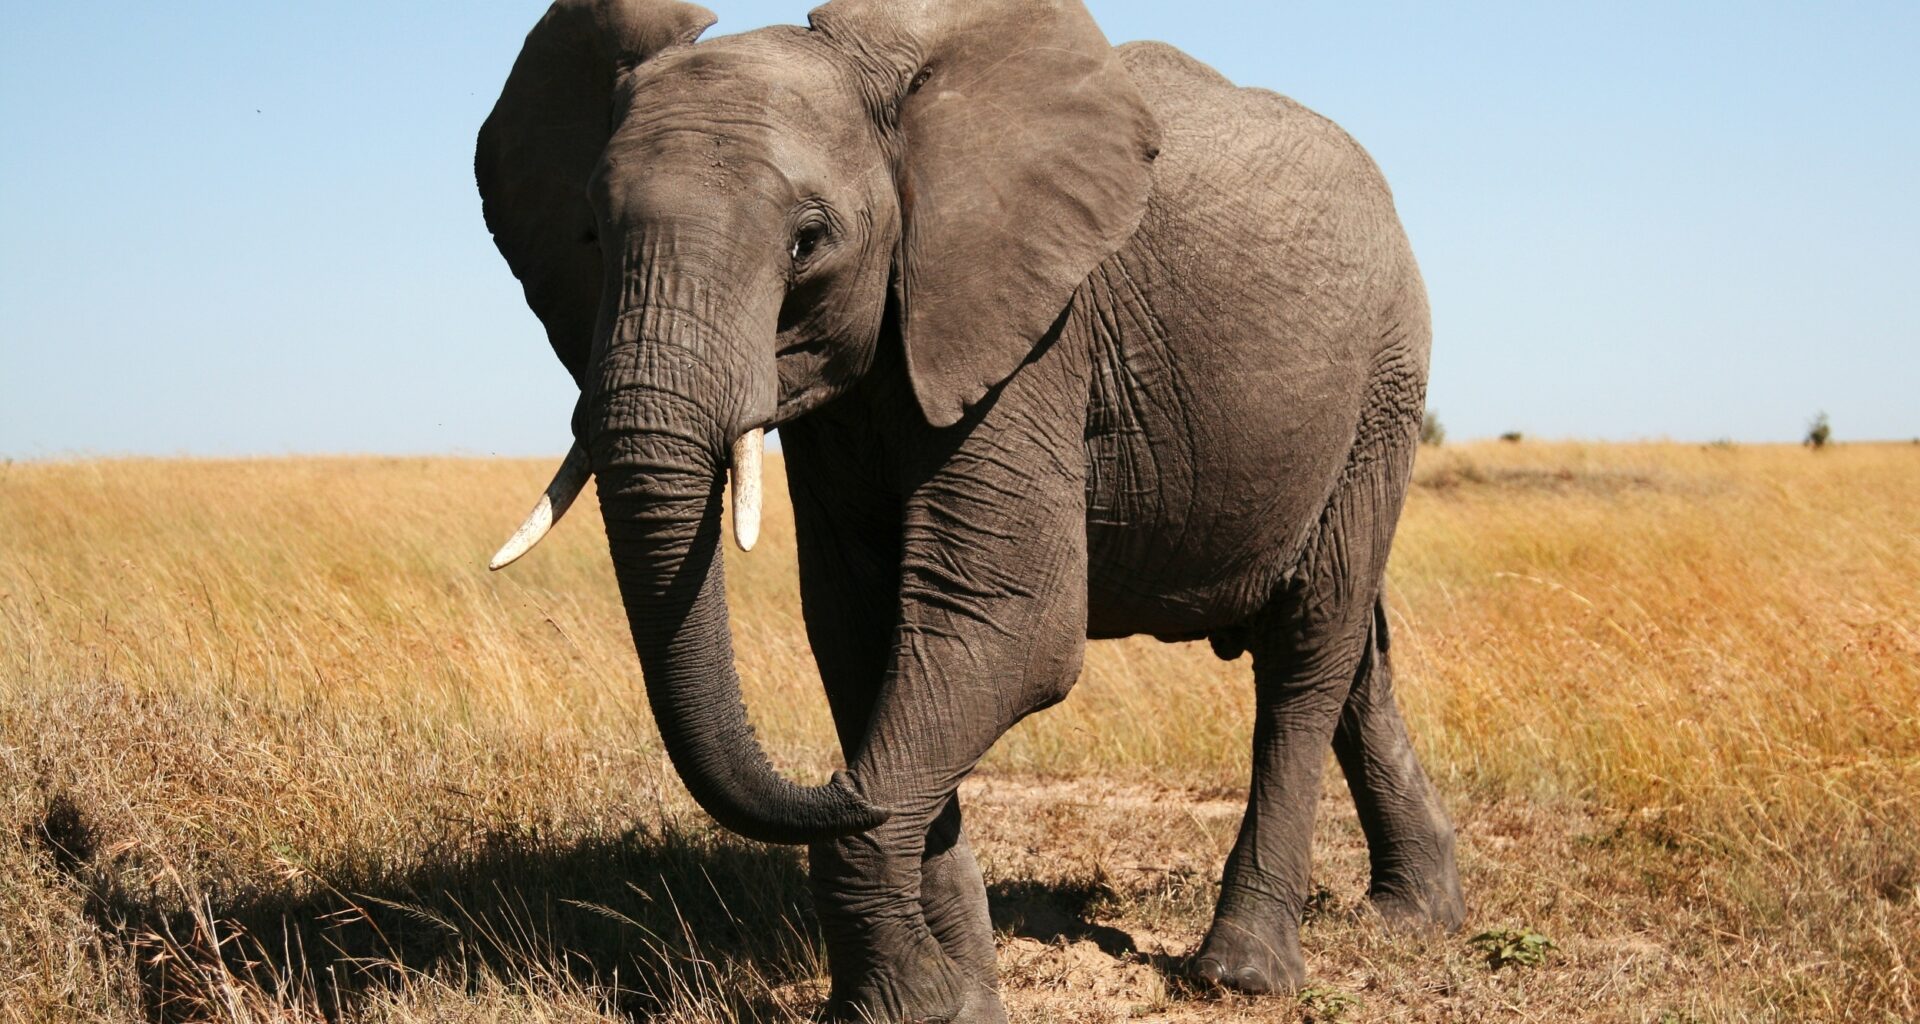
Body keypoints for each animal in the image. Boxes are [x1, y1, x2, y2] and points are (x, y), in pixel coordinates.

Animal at [474, 0, 1464, 1019]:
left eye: (807, 241)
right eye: (592, 237)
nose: (830, 783)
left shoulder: (1034, 339)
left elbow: (1003, 630)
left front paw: (912, 999)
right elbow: (862, 634)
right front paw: (956, 999)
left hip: (1383, 383)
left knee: (1310, 643)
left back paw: (1242, 973)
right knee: (1355, 650)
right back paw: (1415, 916)